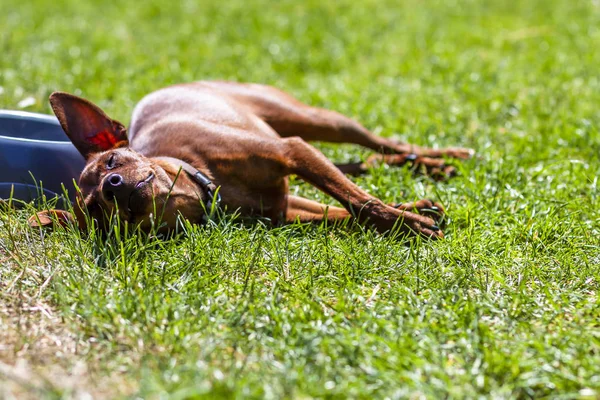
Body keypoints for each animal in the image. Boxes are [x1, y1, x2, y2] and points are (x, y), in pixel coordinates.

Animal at [31, 81, 474, 238]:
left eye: (110, 163)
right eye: (95, 211)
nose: (113, 187)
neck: (207, 185)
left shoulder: (292, 150)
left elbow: (360, 201)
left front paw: (408, 222)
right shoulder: (287, 209)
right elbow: (349, 207)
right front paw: (412, 213)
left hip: (316, 122)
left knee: (383, 143)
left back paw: (444, 156)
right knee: (366, 163)